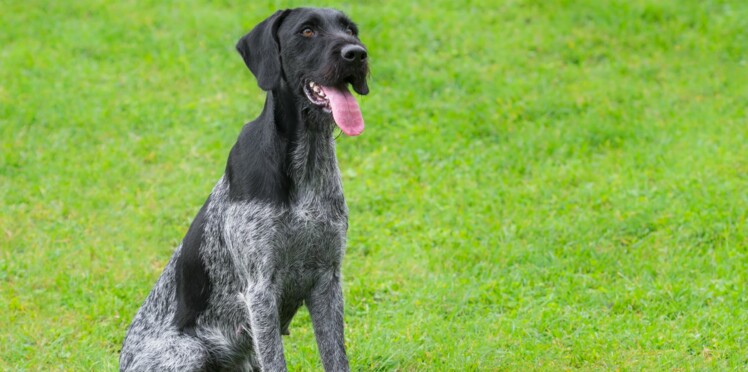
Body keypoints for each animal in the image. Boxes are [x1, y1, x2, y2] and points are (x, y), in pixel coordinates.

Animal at [118, 7, 370, 370]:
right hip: (188, 351)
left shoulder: (328, 280)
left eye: (350, 30)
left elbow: (336, 358)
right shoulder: (260, 291)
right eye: (307, 31)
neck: (305, 160)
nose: (357, 54)